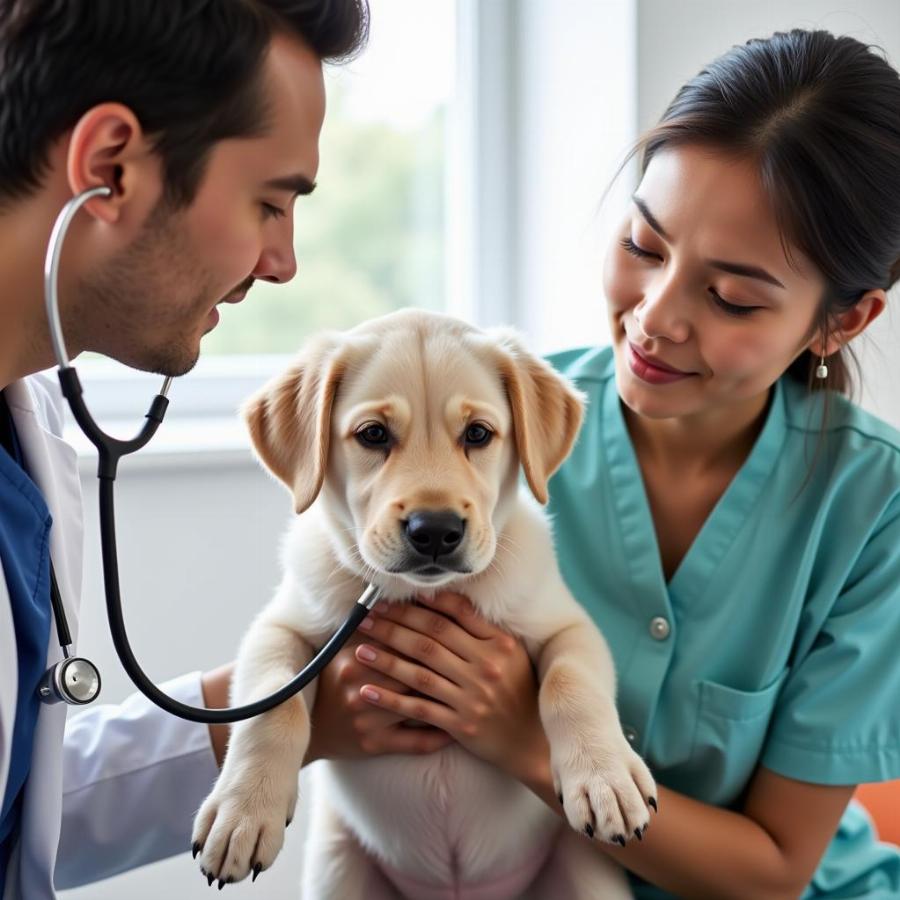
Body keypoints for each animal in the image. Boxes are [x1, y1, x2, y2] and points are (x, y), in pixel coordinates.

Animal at [193, 312, 652, 900]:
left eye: (478, 434)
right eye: (373, 434)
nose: (434, 530)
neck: (423, 593)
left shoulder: (569, 626)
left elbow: (571, 684)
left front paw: (605, 777)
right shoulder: (280, 626)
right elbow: (272, 704)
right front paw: (243, 811)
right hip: (337, 868)